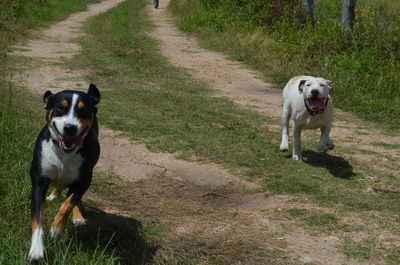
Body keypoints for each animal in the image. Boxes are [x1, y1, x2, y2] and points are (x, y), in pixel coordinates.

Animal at [28, 83, 100, 260]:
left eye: (83, 110)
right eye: (60, 108)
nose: (70, 128)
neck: (64, 152)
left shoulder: (84, 180)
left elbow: (68, 203)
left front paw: (57, 229)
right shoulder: (39, 180)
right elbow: (37, 218)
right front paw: (36, 250)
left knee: (73, 197)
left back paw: (78, 217)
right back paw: (54, 194)